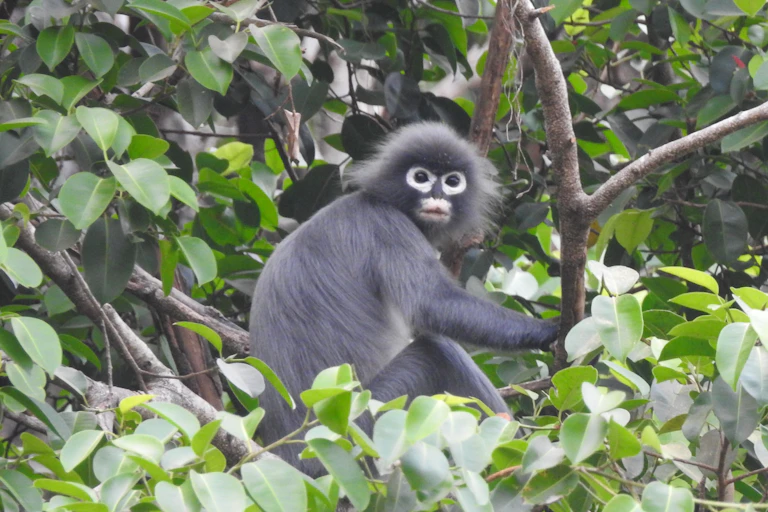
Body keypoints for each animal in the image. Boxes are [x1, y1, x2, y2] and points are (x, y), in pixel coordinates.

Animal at [249, 122, 558, 475]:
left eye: (452, 181)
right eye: (420, 177)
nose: (437, 196)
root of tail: (292, 454)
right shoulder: (388, 226)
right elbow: (434, 304)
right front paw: (552, 329)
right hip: (367, 427)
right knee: (439, 350)